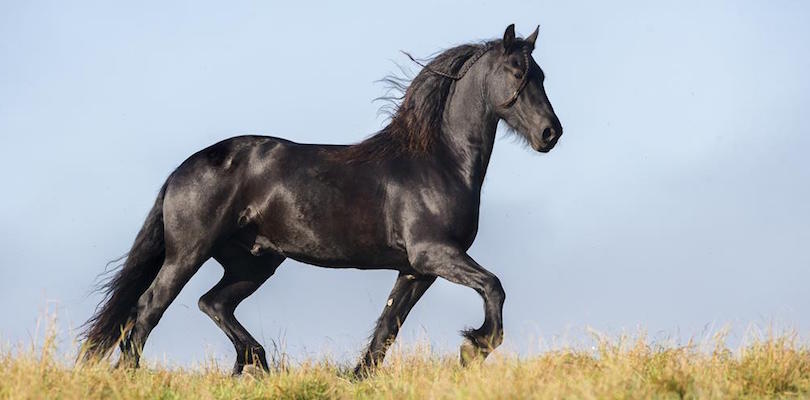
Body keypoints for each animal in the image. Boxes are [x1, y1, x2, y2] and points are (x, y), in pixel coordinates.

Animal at [82, 24, 560, 376]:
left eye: (541, 75)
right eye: (516, 71)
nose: (550, 133)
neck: (438, 161)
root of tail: (183, 170)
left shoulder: (415, 270)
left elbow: (387, 327)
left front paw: (359, 377)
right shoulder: (433, 254)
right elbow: (493, 286)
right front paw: (475, 347)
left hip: (254, 262)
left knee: (212, 303)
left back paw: (255, 363)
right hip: (189, 253)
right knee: (148, 308)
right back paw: (135, 375)